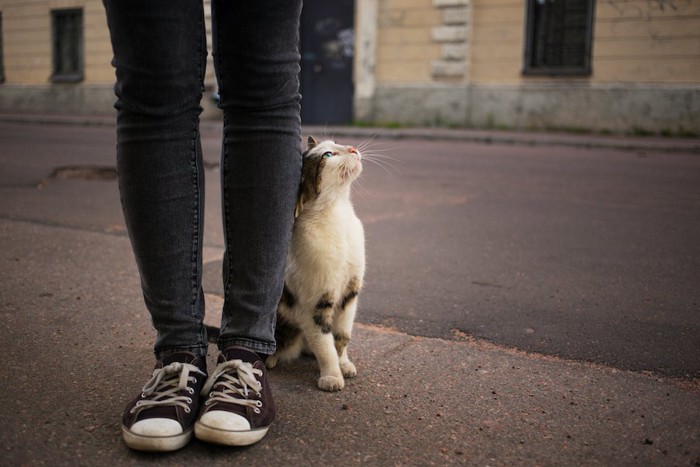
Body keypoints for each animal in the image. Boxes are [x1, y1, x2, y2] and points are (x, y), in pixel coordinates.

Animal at [266, 137, 366, 394]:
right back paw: (271, 358)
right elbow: (324, 343)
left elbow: (342, 335)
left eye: (335, 142)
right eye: (327, 155)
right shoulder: (314, 304)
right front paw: (332, 375)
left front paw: (344, 363)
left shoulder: (350, 293)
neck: (338, 215)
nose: (353, 148)